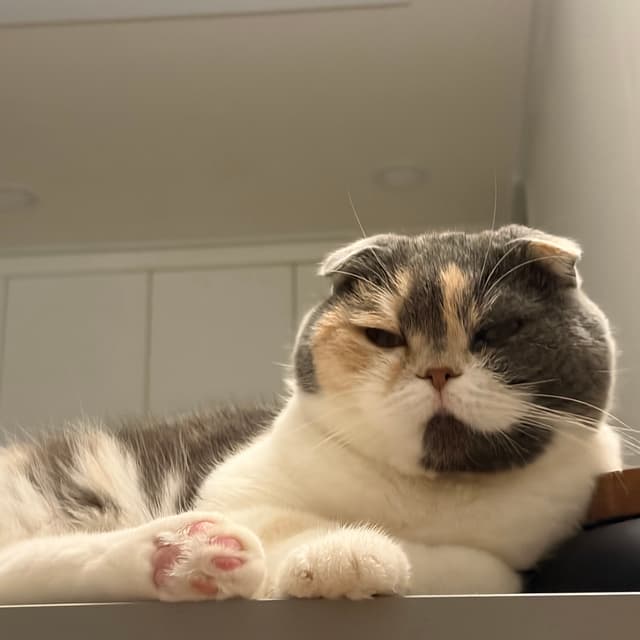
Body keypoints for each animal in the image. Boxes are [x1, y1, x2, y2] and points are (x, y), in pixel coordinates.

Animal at [0, 224, 622, 604]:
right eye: (383, 336)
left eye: (497, 331)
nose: (439, 372)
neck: (427, 494)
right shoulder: (238, 487)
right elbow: (294, 524)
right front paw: (343, 558)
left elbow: (478, 569)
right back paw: (189, 551)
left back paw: (181, 560)